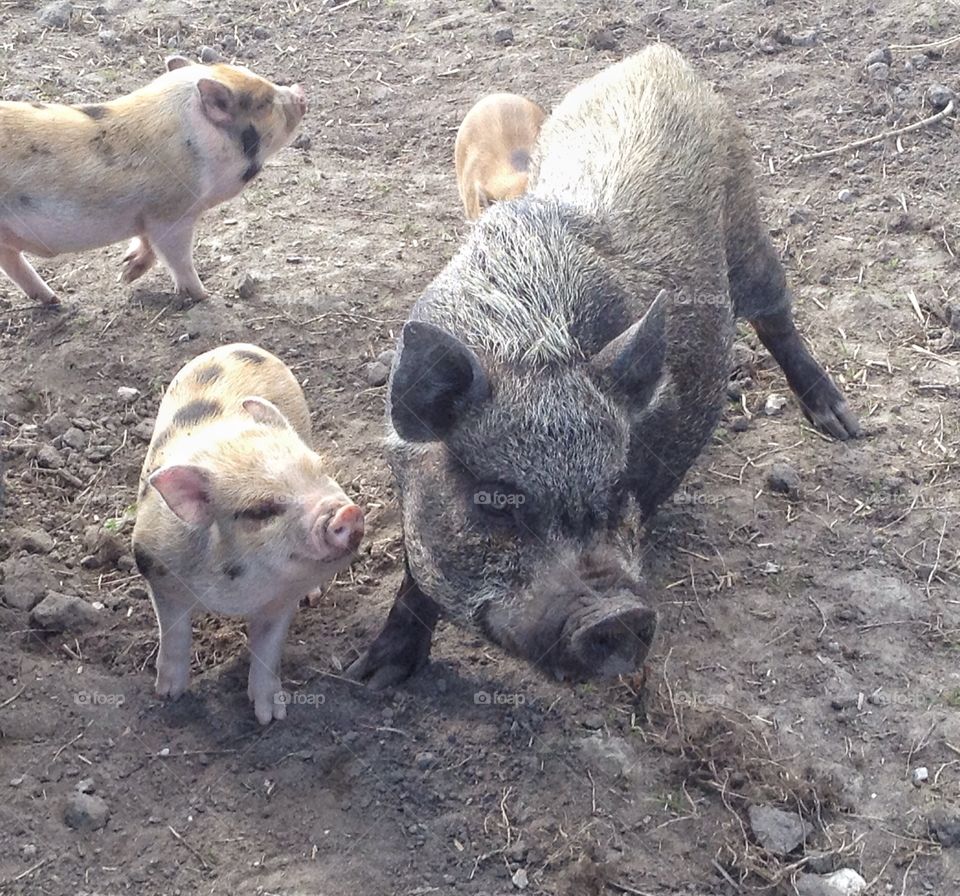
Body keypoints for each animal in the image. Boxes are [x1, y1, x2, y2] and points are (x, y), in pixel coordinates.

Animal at [0, 56, 306, 306]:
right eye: (264, 103)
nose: (300, 92)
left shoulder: (147, 216)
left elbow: (146, 244)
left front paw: (125, 273)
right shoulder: (170, 213)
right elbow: (177, 258)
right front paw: (203, 295)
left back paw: (54, 300)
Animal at [132, 344, 364, 723]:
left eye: (320, 471)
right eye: (261, 511)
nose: (348, 512)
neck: (235, 595)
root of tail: (238, 346)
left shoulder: (282, 599)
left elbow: (268, 650)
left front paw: (271, 717)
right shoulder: (155, 569)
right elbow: (175, 633)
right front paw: (167, 695)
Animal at [348, 45, 859, 689]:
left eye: (617, 488)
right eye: (495, 501)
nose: (616, 616)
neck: (531, 343)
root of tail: (657, 56)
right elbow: (418, 575)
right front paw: (370, 677)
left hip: (748, 225)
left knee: (777, 317)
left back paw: (843, 426)